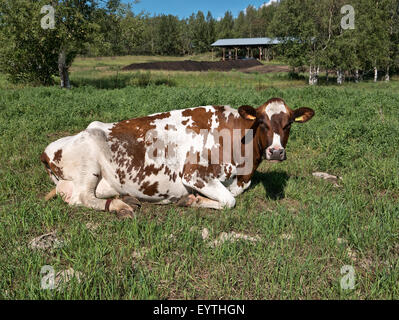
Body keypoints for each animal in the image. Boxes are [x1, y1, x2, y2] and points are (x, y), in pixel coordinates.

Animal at [41, 97, 316, 218]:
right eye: (262, 122)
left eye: (289, 123)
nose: (276, 151)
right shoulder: (194, 174)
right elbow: (229, 201)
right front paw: (192, 200)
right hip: (88, 165)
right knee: (81, 199)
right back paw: (121, 206)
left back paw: (126, 198)